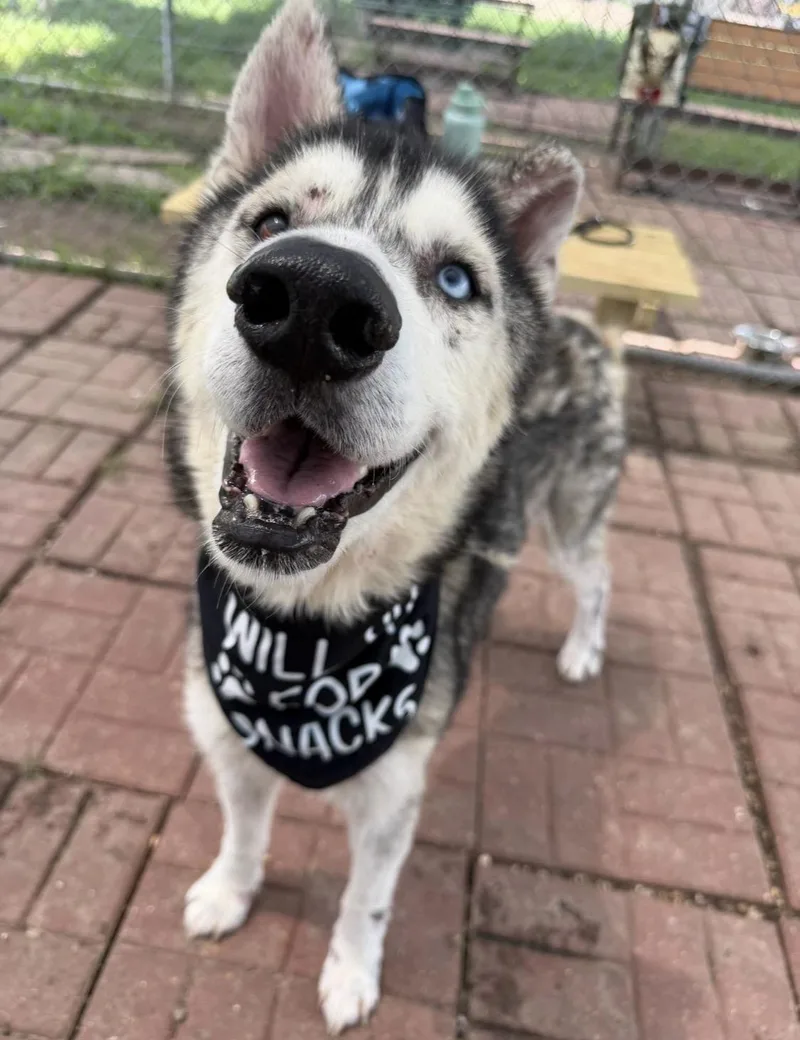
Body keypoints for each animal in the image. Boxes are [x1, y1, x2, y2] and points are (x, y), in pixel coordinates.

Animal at [165, 0, 625, 1031]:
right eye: (272, 222)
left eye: (456, 280)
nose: (310, 299)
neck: (306, 632)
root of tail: (586, 328)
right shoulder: (225, 737)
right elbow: (242, 829)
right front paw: (229, 891)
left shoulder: (390, 801)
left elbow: (364, 903)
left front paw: (349, 974)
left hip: (568, 518)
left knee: (599, 578)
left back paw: (583, 650)